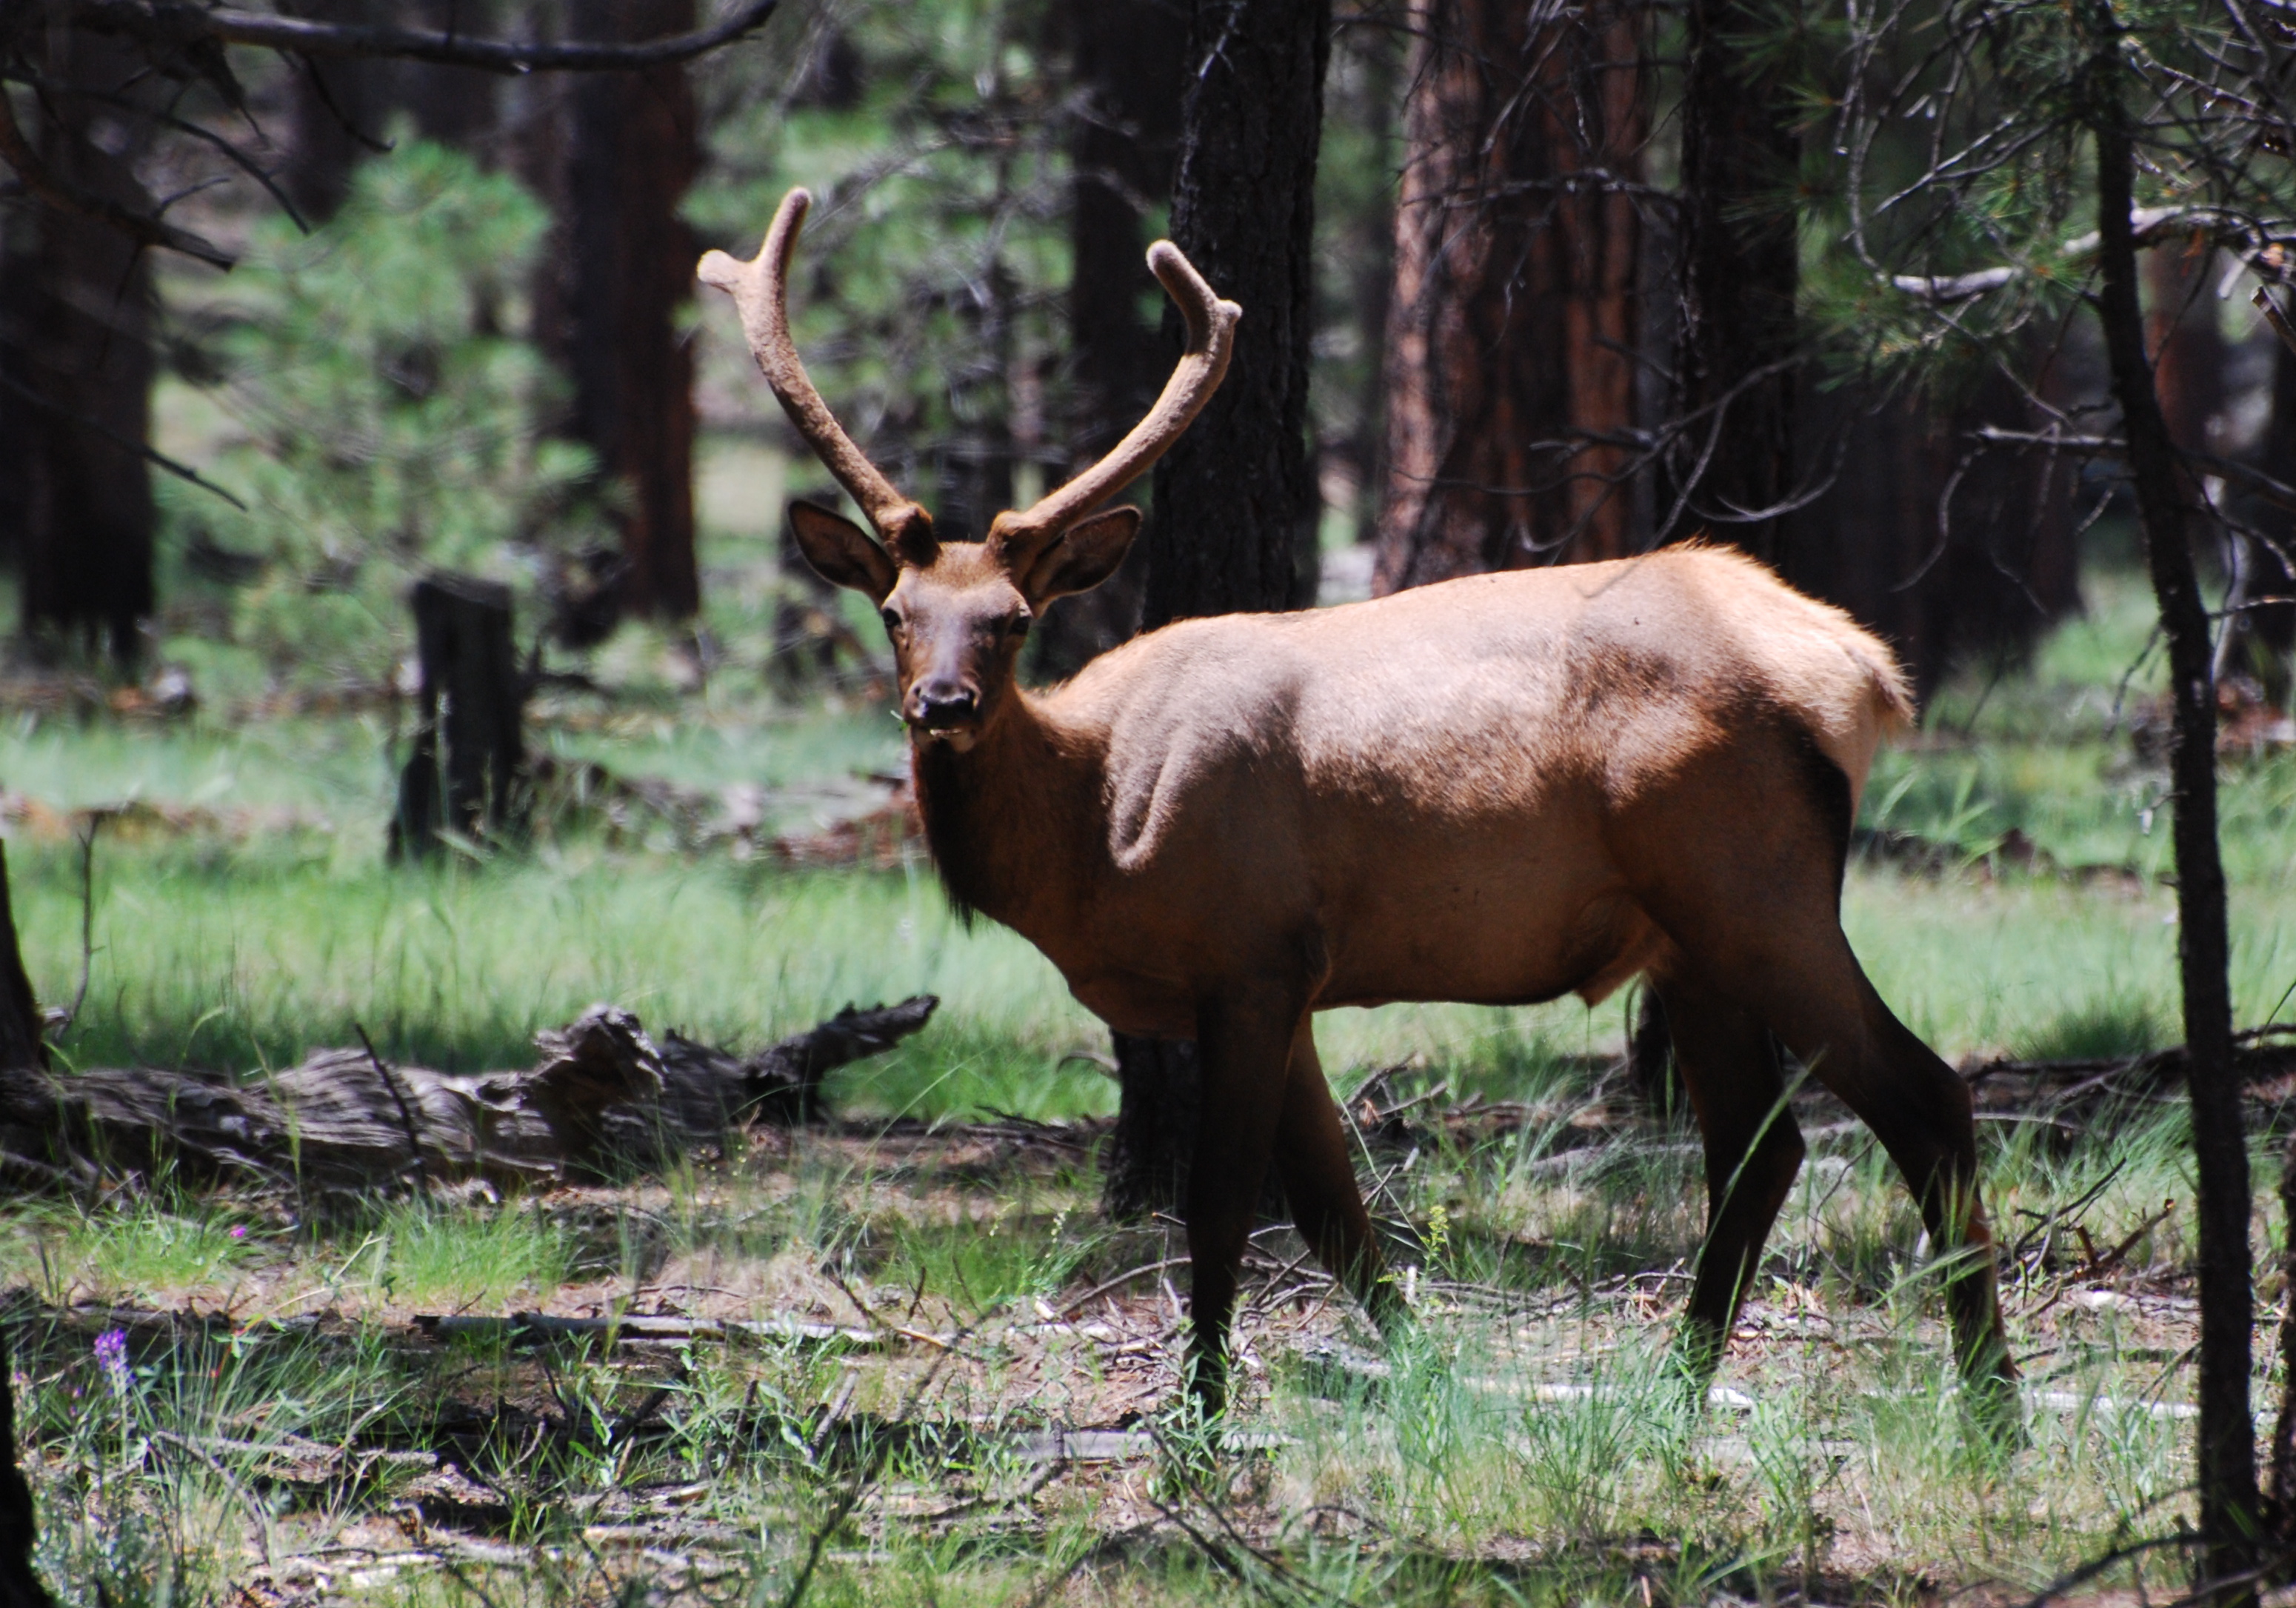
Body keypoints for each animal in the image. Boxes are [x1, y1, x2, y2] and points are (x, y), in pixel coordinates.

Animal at [698, 191, 2011, 1415]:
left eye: (1014, 620)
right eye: (895, 613)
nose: (944, 703)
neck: (1094, 831)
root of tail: (1863, 672)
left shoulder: (1252, 951)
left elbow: (1225, 1199)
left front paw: (1201, 1415)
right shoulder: (1294, 978)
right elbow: (1337, 1210)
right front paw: (1431, 1382)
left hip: (1755, 884)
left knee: (1925, 1095)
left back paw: (1990, 1406)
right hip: (1687, 936)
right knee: (1759, 1139)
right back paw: (1680, 1390)